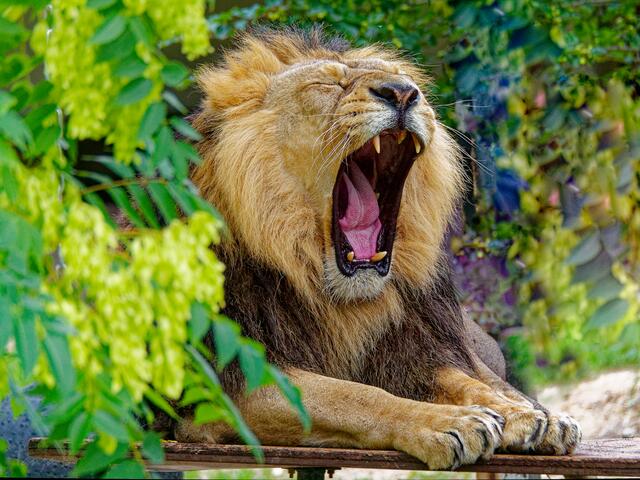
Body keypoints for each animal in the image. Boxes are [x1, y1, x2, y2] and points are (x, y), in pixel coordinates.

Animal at [179, 26, 582, 469]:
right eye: (327, 85)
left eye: (406, 82)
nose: (403, 93)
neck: (342, 301)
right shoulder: (233, 383)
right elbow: (356, 396)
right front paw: (451, 423)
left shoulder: (418, 349)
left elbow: (471, 383)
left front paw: (522, 415)